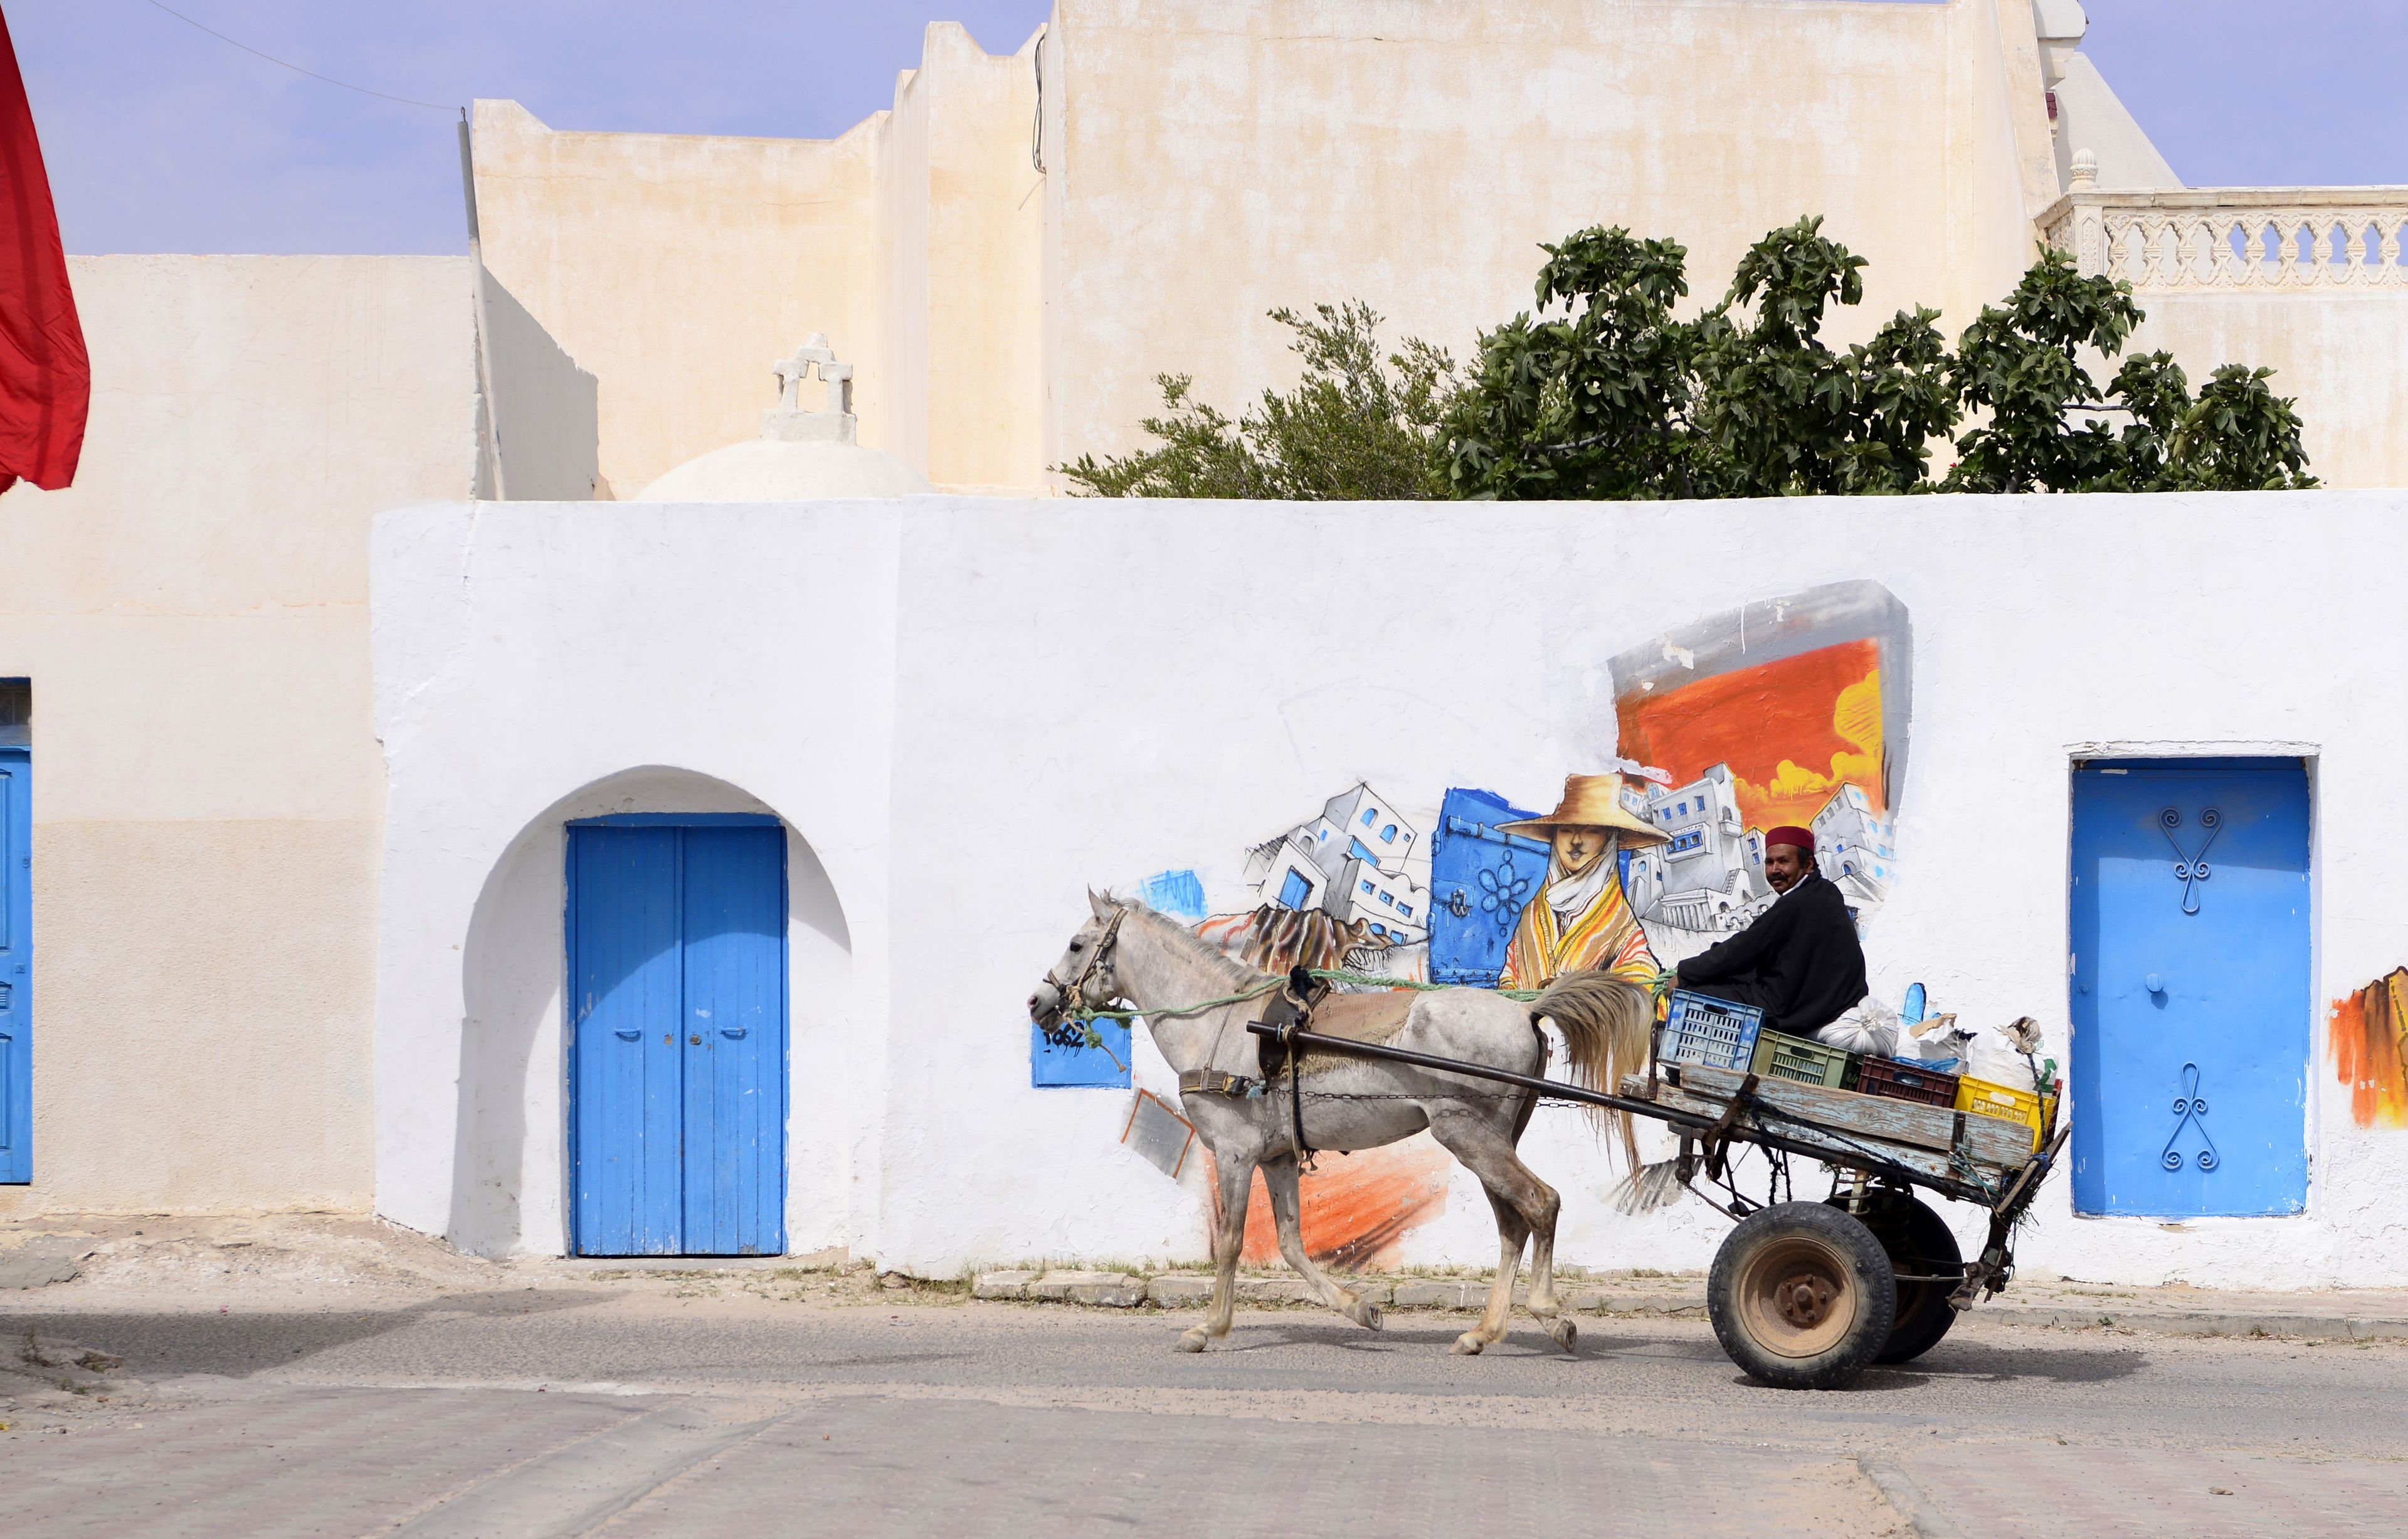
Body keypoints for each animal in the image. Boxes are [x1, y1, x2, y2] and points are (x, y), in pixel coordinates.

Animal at [1025, 896, 1647, 1358]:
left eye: (1077, 944)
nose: (1038, 1000)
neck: (1222, 1020)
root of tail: (1524, 1010)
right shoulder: (1277, 1157)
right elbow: (1292, 1244)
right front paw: (1359, 1309)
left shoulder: (1234, 1152)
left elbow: (1230, 1244)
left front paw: (1210, 1328)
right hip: (1490, 1142)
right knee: (1514, 1225)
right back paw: (1484, 1332)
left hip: (1469, 1137)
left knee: (1542, 1204)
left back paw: (1548, 1314)